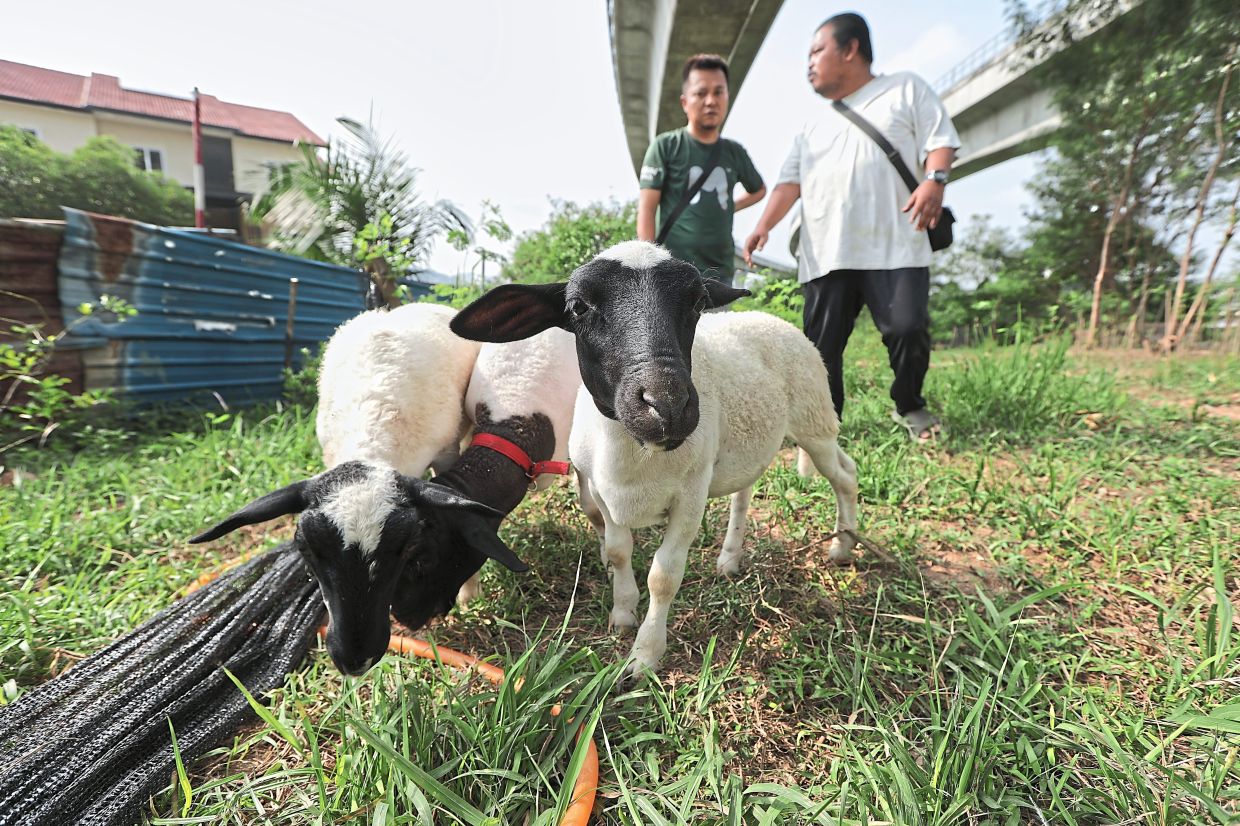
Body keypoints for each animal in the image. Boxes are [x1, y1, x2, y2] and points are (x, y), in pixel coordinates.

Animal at [190, 304, 581, 677]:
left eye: (409, 550)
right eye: (305, 550)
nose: (356, 661)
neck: (372, 429)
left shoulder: (446, 452)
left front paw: (470, 595)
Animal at [450, 241, 860, 682]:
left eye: (699, 302)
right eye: (578, 307)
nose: (667, 405)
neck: (634, 456)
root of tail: (771, 319)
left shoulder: (691, 496)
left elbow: (663, 576)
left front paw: (644, 657)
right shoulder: (600, 490)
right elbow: (617, 551)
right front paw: (622, 614)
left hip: (814, 420)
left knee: (845, 475)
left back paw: (843, 547)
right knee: (745, 494)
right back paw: (730, 558)